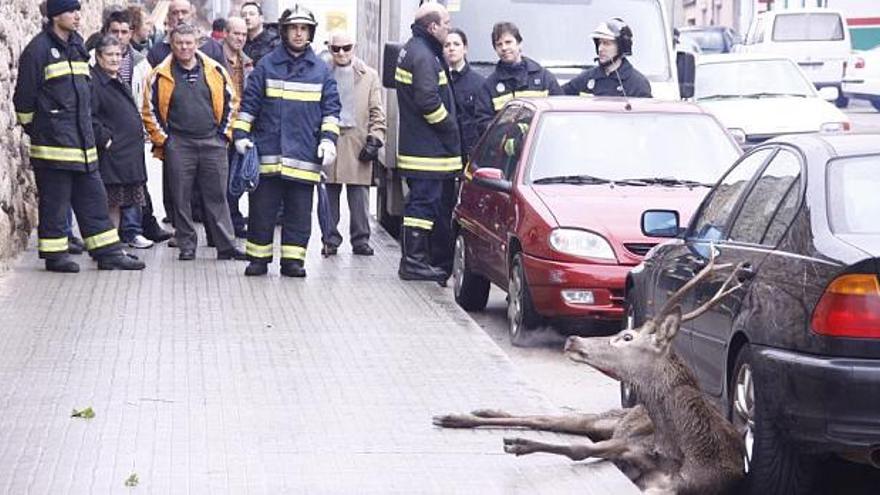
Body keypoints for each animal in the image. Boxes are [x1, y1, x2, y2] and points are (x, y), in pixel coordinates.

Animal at [434, 254, 748, 494]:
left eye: (626, 337)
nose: (573, 339)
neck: (680, 450)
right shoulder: (629, 444)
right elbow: (579, 449)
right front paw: (520, 442)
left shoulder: (670, 485)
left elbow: (578, 449)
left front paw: (520, 443)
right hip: (607, 420)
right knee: (548, 419)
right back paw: (465, 415)